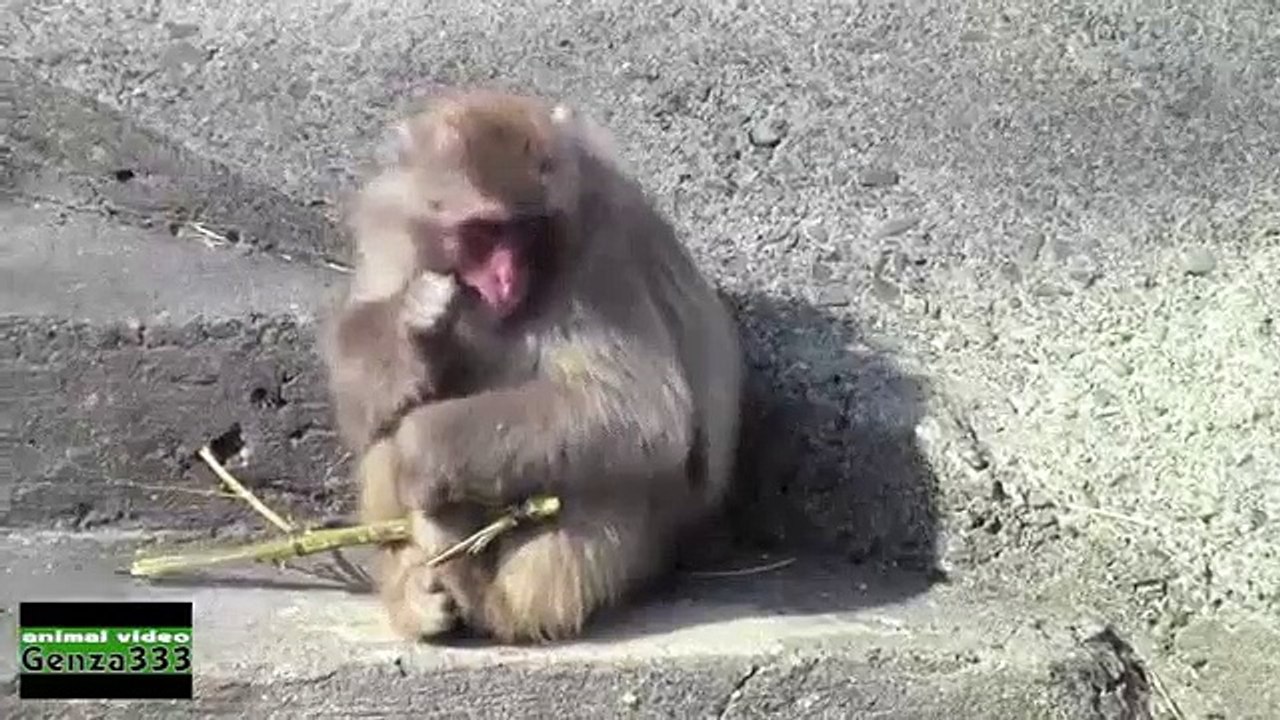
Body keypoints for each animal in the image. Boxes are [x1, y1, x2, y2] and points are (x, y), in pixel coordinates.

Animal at [322, 89, 744, 644]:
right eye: (483, 232)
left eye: (527, 230)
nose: (506, 279)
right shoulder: (389, 224)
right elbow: (357, 406)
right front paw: (415, 324)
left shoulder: (600, 249)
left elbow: (638, 409)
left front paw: (419, 451)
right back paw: (418, 591)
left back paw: (500, 602)